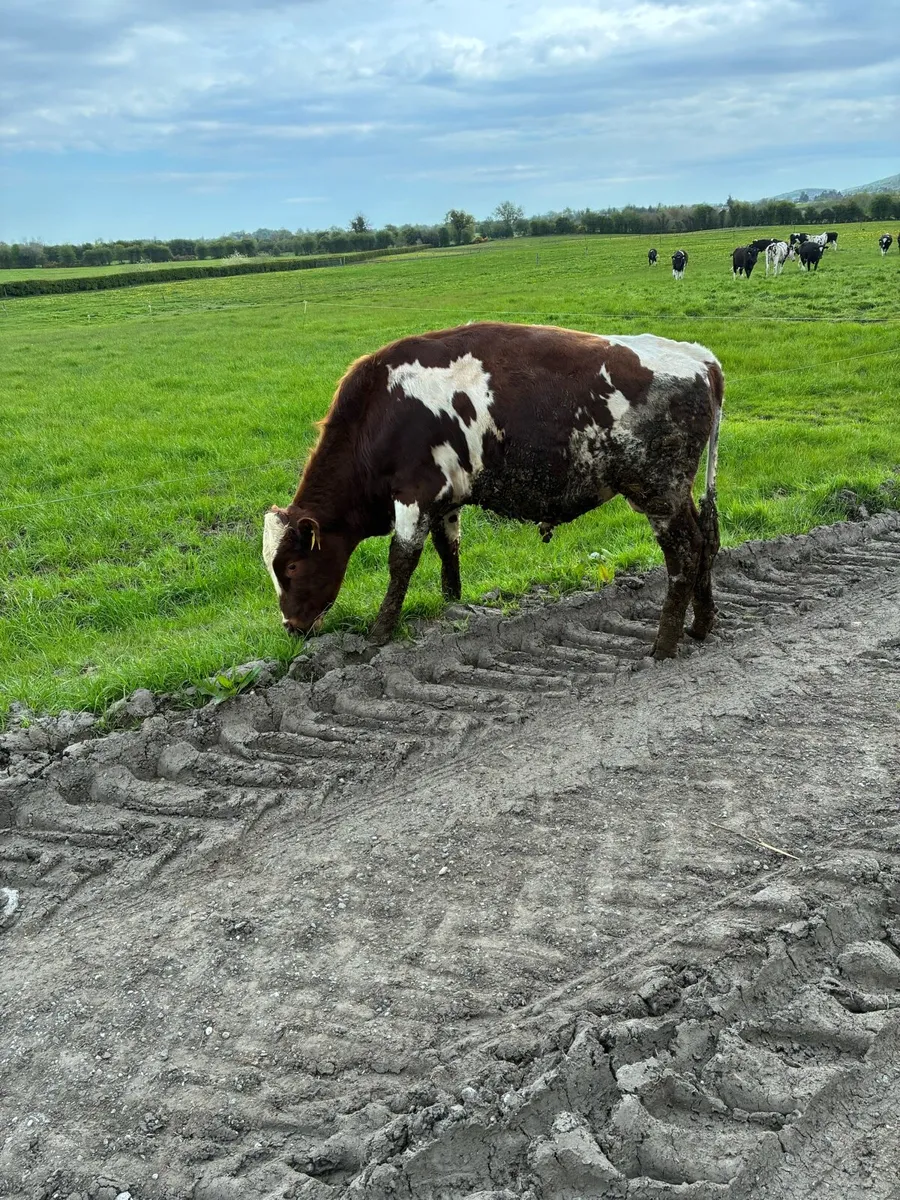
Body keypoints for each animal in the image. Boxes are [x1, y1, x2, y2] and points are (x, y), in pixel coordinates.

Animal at [263, 322, 724, 660]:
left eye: (291, 567)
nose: (291, 627)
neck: (381, 409)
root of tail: (700, 358)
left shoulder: (413, 494)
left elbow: (401, 562)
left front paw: (379, 632)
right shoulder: (444, 499)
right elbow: (447, 549)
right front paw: (451, 604)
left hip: (660, 494)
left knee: (685, 554)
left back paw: (663, 645)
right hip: (679, 494)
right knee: (707, 541)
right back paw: (701, 625)